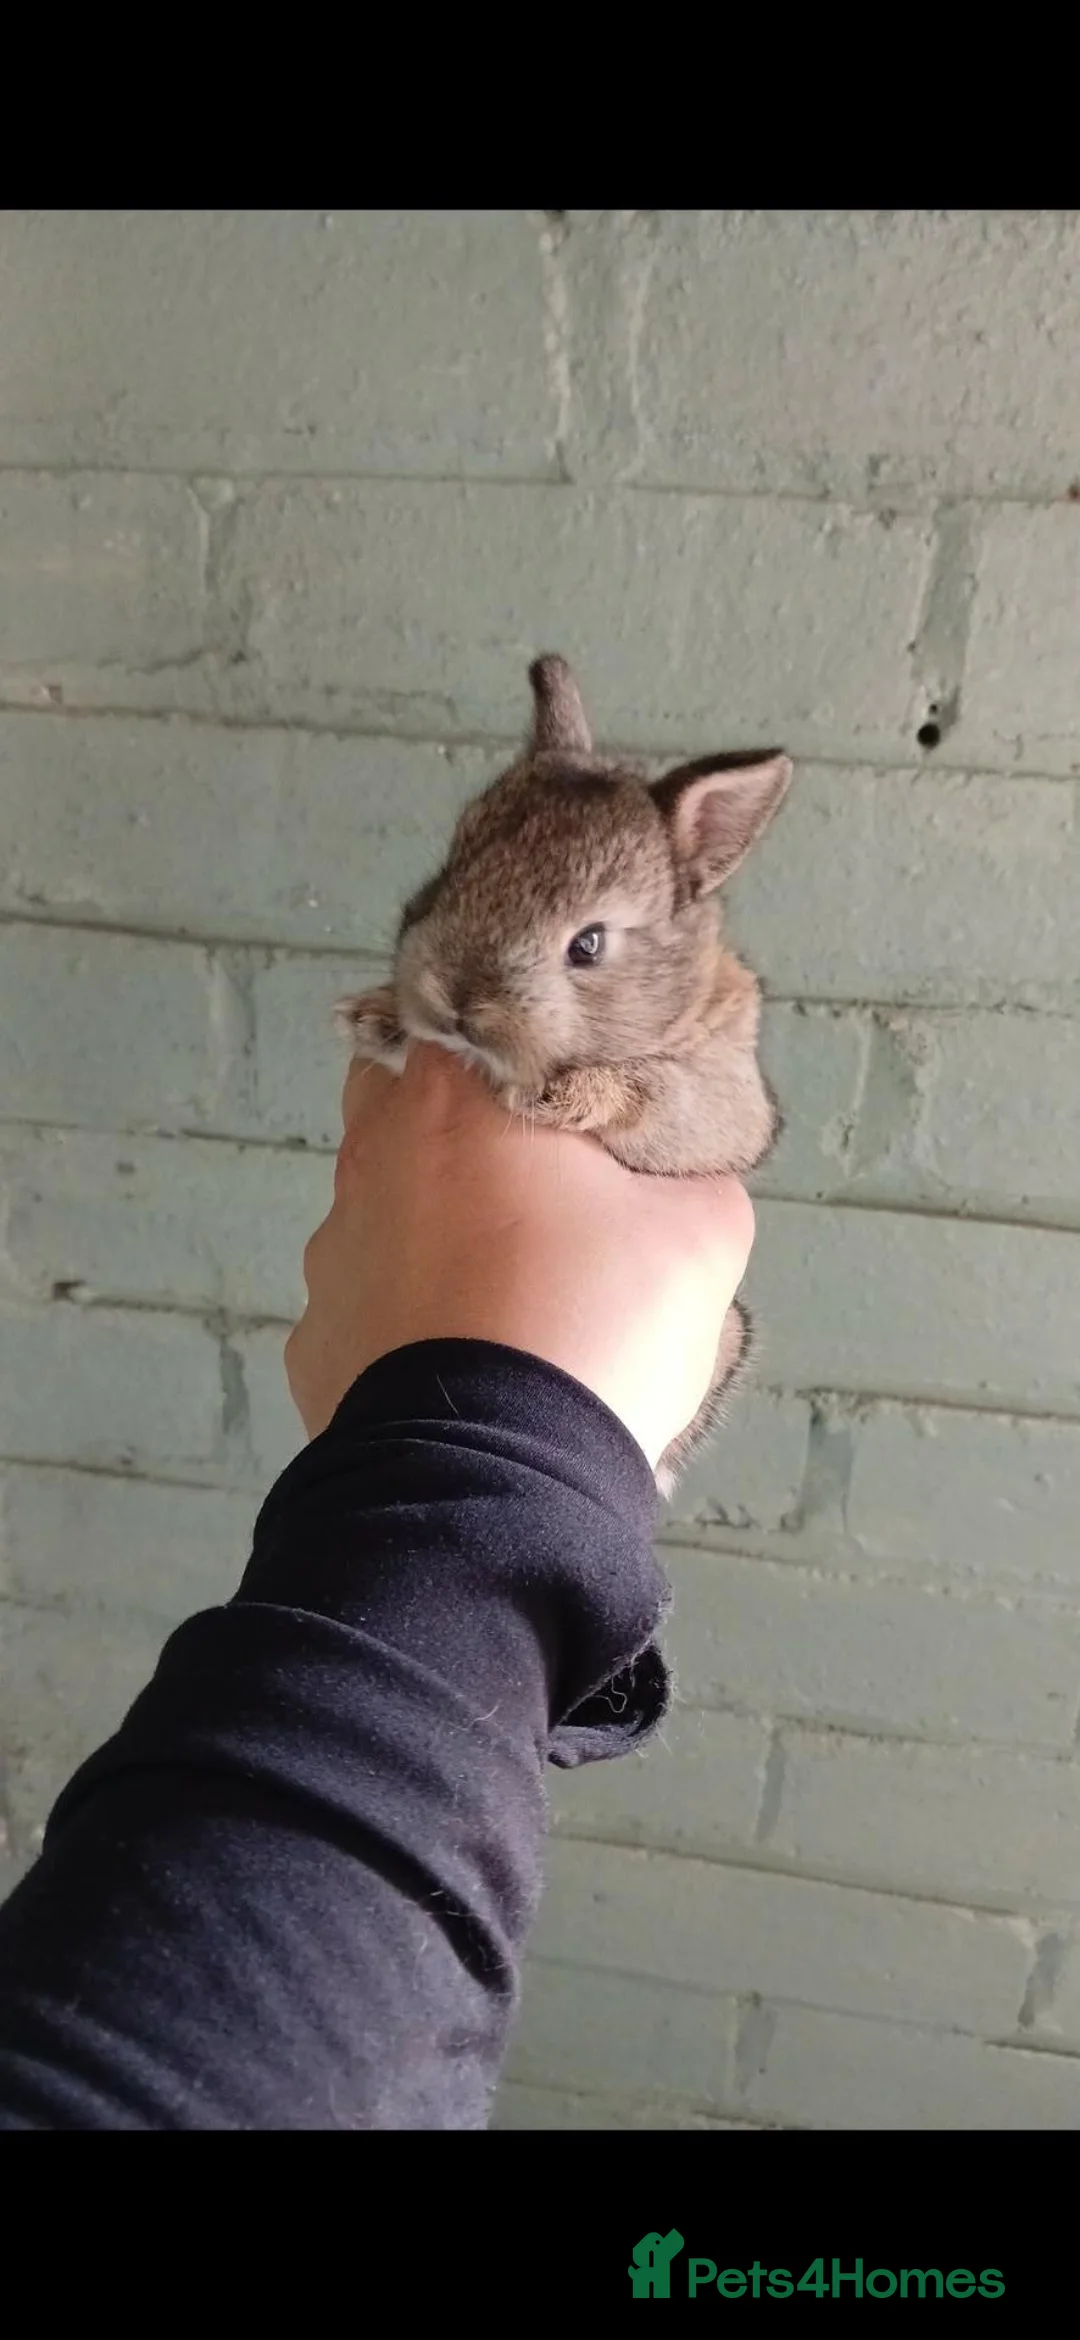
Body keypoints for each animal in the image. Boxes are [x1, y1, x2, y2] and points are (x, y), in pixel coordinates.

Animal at [337, 654, 792, 1496]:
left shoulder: (718, 1104)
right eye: (452, 869)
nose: (456, 1003)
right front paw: (373, 1017)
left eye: (589, 944)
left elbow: (655, 1095)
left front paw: (559, 1095)